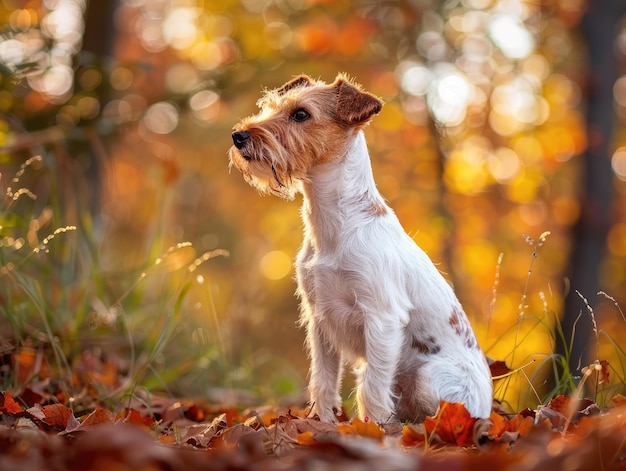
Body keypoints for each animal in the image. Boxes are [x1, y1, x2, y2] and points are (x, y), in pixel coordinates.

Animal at [229, 74, 492, 424]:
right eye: (270, 107)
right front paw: (323, 421)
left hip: (428, 377)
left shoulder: (381, 318)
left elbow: (373, 386)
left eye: (301, 114)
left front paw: (372, 427)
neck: (335, 226)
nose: (238, 135)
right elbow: (323, 380)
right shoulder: (320, 318)